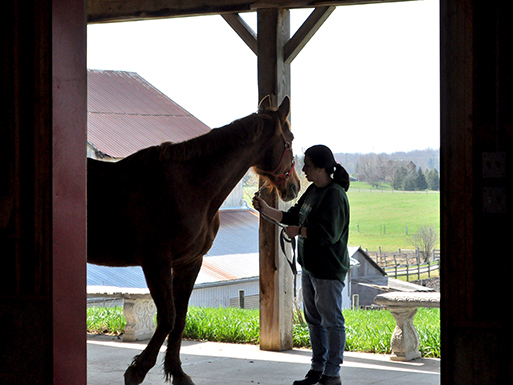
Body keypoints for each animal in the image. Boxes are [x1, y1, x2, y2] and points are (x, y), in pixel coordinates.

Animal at [86, 95, 298, 384]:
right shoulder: (156, 263)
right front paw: (138, 370)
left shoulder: (189, 262)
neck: (188, 186)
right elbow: (168, 317)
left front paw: (177, 372)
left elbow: (180, 317)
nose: (295, 187)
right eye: (291, 138)